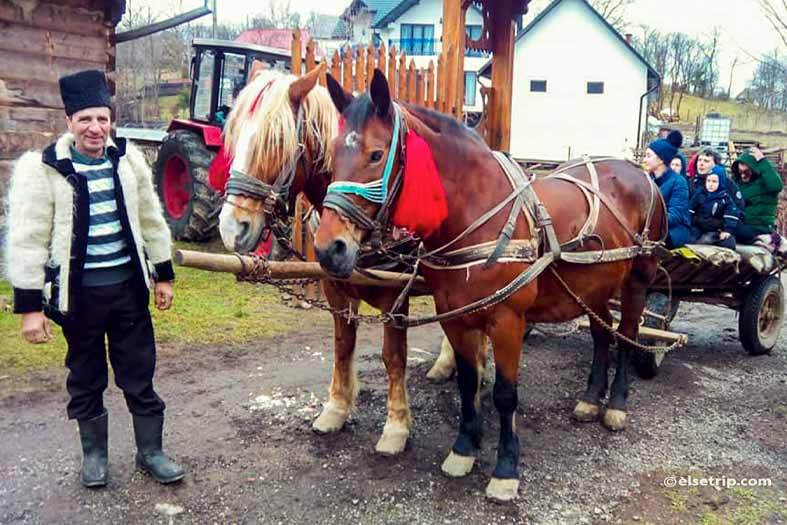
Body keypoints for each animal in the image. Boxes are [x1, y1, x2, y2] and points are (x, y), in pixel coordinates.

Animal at [212, 65, 478, 456]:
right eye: (232, 138)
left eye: (275, 142)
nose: (232, 227)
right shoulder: (335, 288)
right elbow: (342, 345)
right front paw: (336, 408)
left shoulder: (395, 298)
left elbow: (393, 356)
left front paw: (396, 426)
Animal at [314, 69, 664, 500]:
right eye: (332, 153)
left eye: (376, 155)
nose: (329, 248)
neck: (477, 214)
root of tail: (640, 173)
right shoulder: (454, 317)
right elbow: (468, 382)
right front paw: (464, 448)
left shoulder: (508, 321)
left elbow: (504, 393)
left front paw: (505, 468)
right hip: (593, 287)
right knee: (602, 335)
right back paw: (588, 400)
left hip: (637, 281)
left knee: (628, 336)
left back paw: (615, 404)